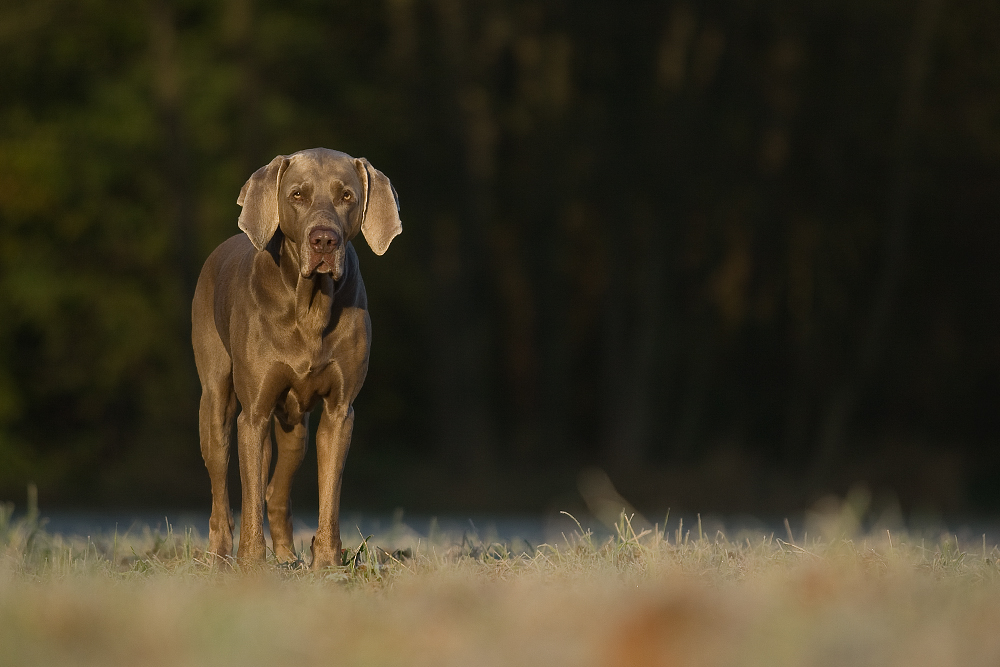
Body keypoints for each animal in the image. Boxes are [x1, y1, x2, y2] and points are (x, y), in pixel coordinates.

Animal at [192, 149, 402, 572]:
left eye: (346, 196)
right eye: (298, 195)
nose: (324, 239)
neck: (310, 304)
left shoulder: (340, 412)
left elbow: (329, 491)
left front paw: (327, 563)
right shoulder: (254, 414)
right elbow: (248, 492)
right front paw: (252, 563)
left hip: (296, 429)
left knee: (275, 490)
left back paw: (288, 556)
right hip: (216, 407)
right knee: (222, 493)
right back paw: (219, 556)